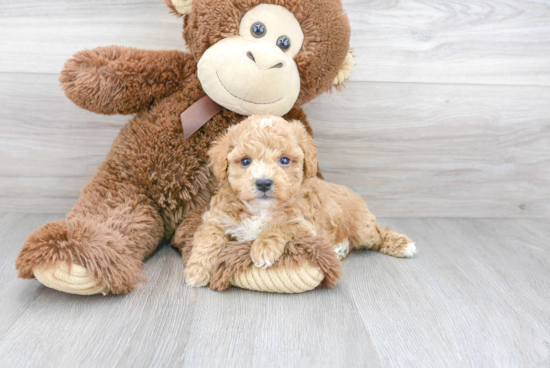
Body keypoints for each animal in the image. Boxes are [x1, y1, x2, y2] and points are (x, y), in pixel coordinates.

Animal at [185, 115, 418, 288]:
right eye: (245, 161)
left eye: (284, 160)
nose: (263, 183)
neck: (261, 209)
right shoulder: (216, 218)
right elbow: (209, 240)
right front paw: (196, 270)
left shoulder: (305, 224)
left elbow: (278, 227)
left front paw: (262, 248)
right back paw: (340, 249)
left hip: (361, 227)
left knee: (378, 232)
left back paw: (403, 244)